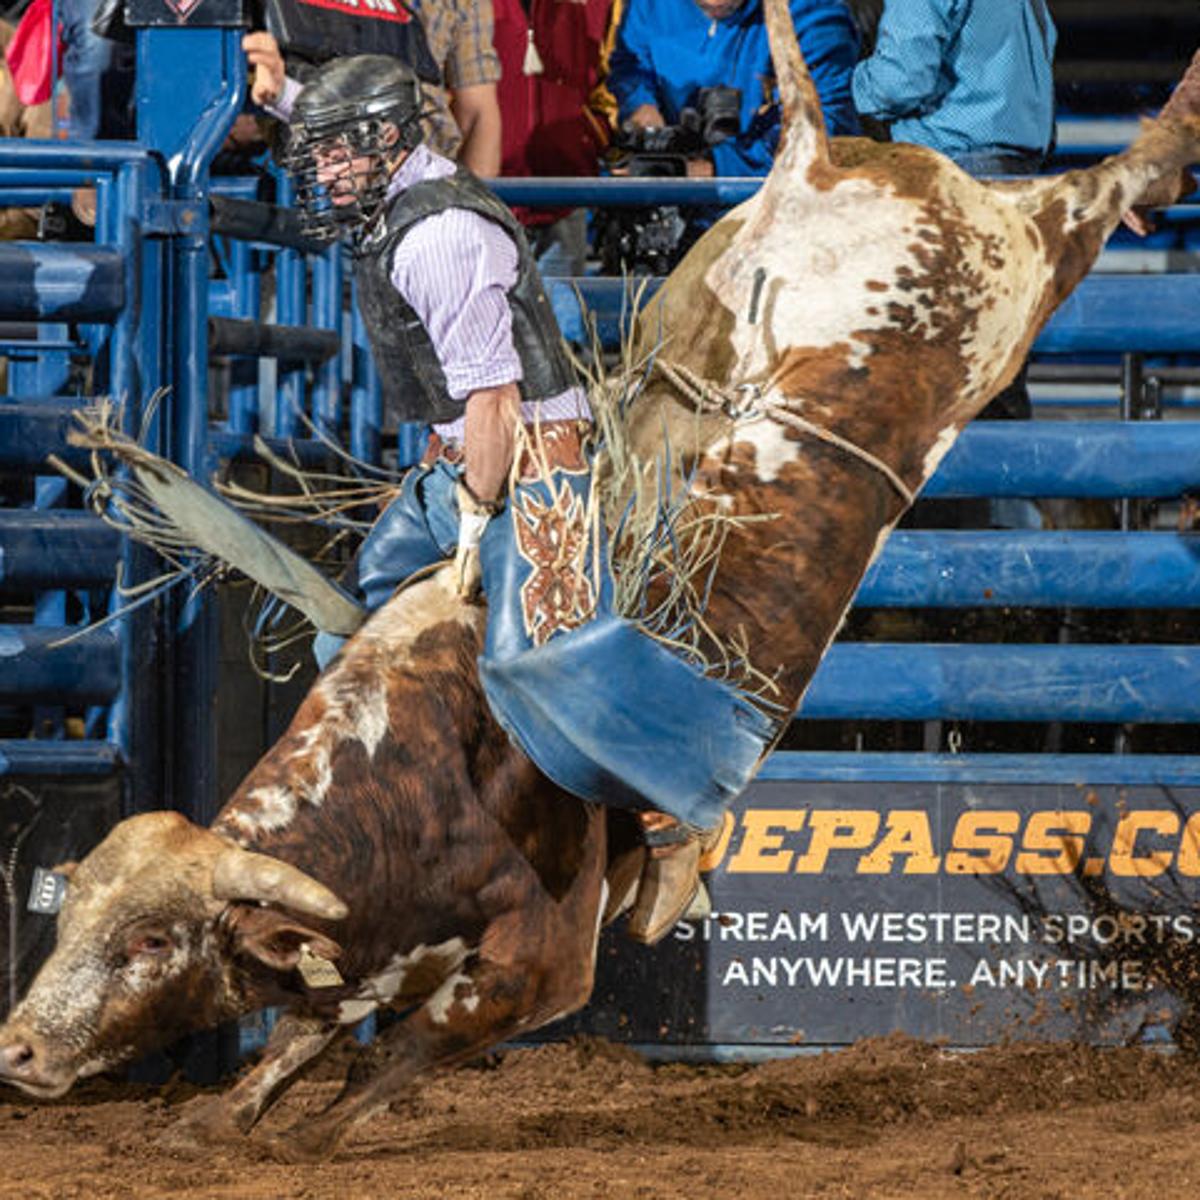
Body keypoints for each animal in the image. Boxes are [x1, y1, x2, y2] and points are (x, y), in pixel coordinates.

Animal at [2, 0, 1198, 1162]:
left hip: (1022, 270)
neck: (413, 771)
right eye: (72, 915)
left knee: (1110, 187)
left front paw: (311, 1136)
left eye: (151, 940)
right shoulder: (373, 943)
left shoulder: (543, 952)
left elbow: (415, 1041)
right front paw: (217, 1117)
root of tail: (835, 160)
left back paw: (1173, 129)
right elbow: (314, 1022)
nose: (17, 1048)